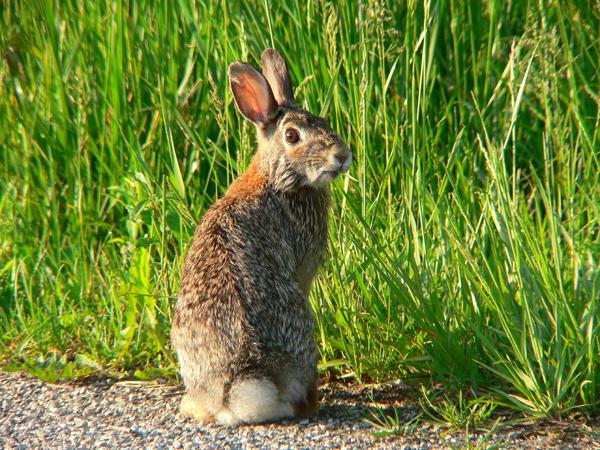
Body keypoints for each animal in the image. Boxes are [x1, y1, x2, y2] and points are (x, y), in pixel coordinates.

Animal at [171, 48, 352, 426]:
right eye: (293, 136)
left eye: (324, 120)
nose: (342, 156)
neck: (278, 178)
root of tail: (247, 375)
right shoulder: (304, 268)